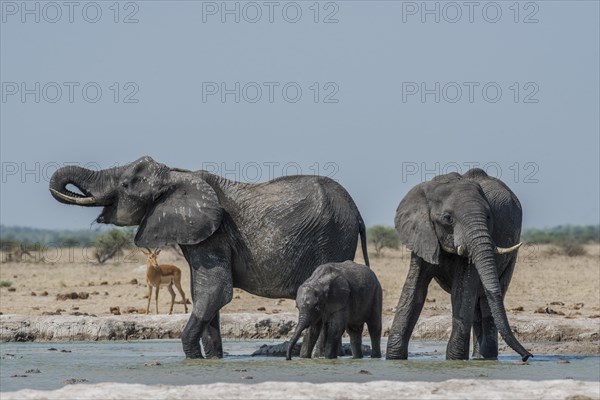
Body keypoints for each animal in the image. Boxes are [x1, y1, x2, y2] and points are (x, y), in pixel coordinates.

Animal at [49, 155, 368, 358]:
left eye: (126, 184)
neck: (175, 176)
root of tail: (357, 212)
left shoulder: (215, 232)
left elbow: (214, 291)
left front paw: (193, 358)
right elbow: (204, 295)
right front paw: (213, 360)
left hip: (333, 237)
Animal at [386, 169, 532, 362]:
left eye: (488, 217)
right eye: (448, 218)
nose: (527, 356)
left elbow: (462, 291)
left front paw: (455, 359)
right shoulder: (423, 235)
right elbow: (414, 289)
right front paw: (394, 358)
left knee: (487, 302)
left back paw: (487, 357)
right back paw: (479, 358)